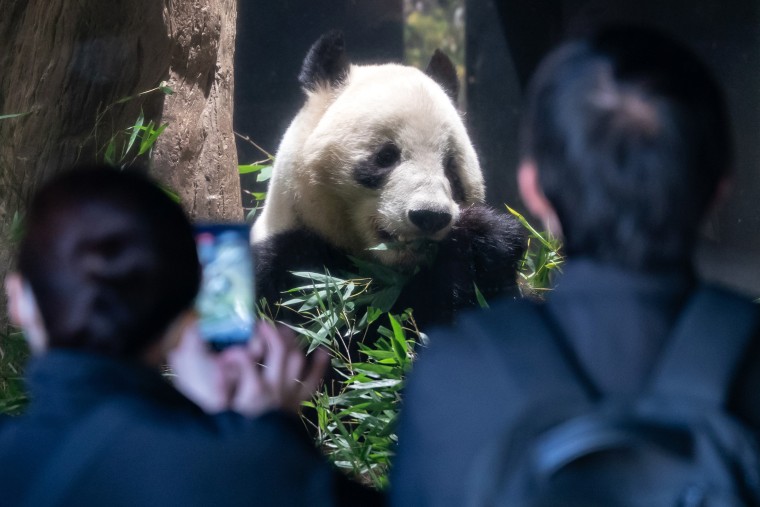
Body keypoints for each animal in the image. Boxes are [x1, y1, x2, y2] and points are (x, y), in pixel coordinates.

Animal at [252, 31, 525, 329]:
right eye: (386, 156)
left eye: (451, 169)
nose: (430, 216)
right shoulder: (289, 269)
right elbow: (351, 322)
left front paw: (490, 240)